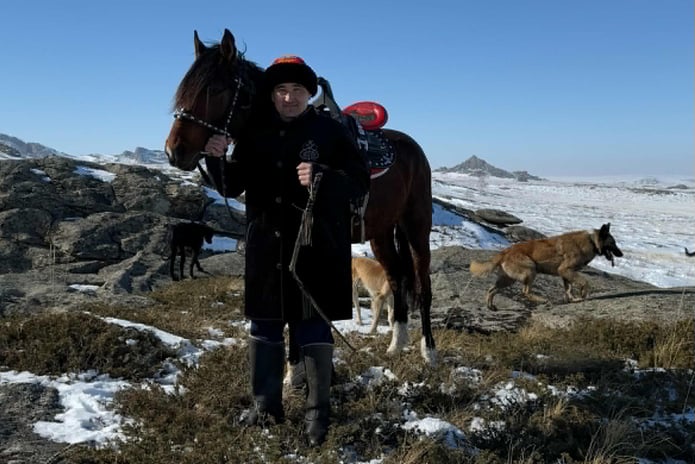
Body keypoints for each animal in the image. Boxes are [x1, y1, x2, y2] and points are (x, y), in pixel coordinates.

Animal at [164, 29, 436, 364]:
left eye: (214, 89)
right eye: (184, 90)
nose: (174, 152)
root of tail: (413, 149)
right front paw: (293, 372)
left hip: (416, 225)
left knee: (423, 284)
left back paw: (429, 351)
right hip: (382, 232)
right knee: (397, 277)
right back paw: (397, 342)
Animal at [470, 223, 624, 310]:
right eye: (613, 243)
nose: (621, 254)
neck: (592, 241)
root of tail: (505, 251)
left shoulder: (566, 274)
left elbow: (568, 289)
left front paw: (572, 299)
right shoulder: (566, 270)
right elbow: (585, 281)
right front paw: (583, 294)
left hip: (508, 280)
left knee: (492, 289)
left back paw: (490, 306)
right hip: (530, 271)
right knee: (525, 291)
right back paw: (542, 299)